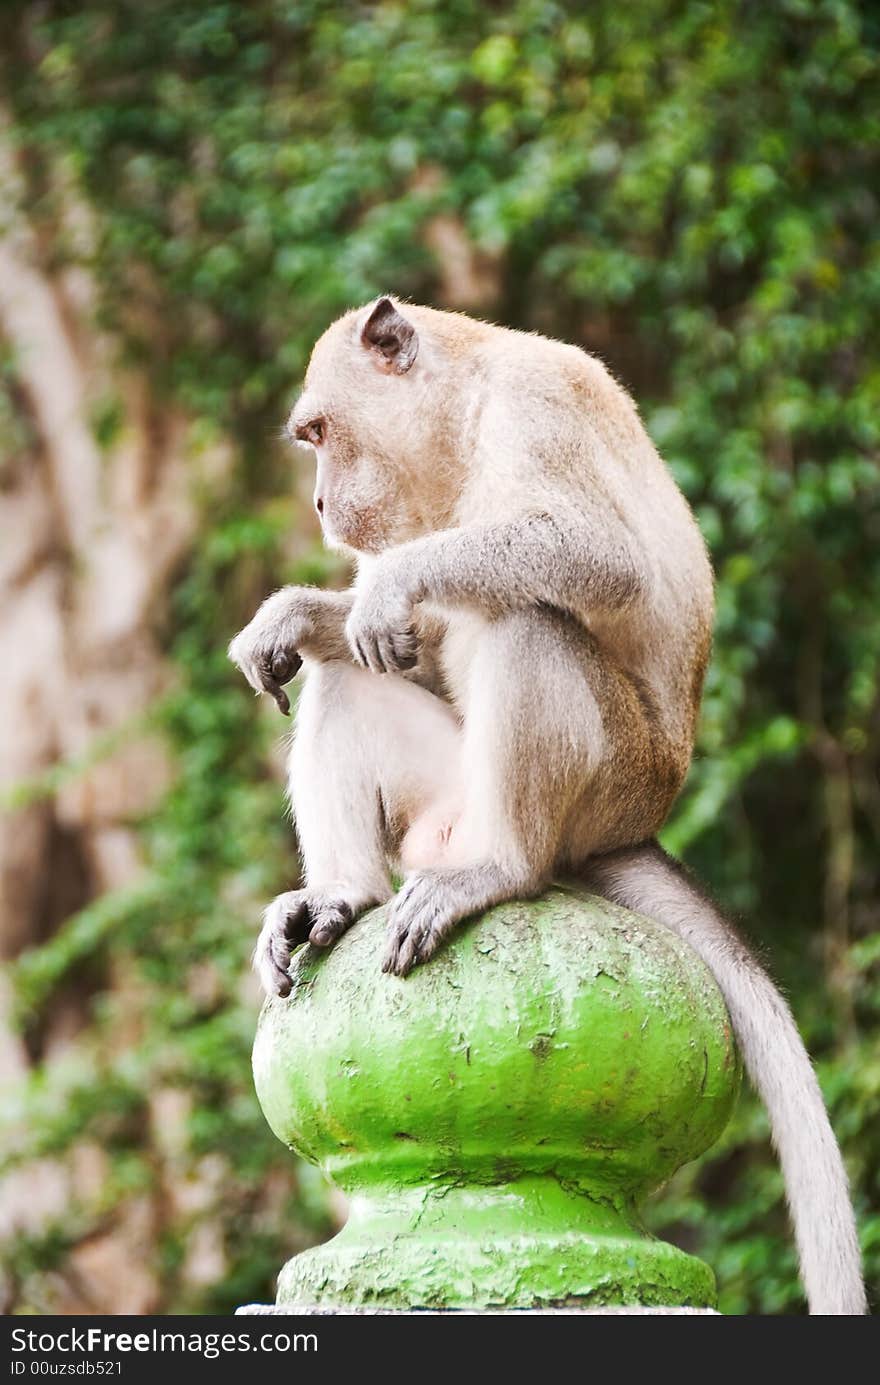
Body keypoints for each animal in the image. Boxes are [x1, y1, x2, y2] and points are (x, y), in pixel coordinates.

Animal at [228, 297, 870, 1312]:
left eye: (320, 432)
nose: (322, 506)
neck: (465, 406)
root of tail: (636, 822)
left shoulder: (535, 412)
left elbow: (593, 558)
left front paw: (383, 583)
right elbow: (397, 648)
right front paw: (293, 615)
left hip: (606, 780)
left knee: (527, 617)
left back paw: (499, 870)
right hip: (452, 799)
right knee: (352, 680)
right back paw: (340, 897)